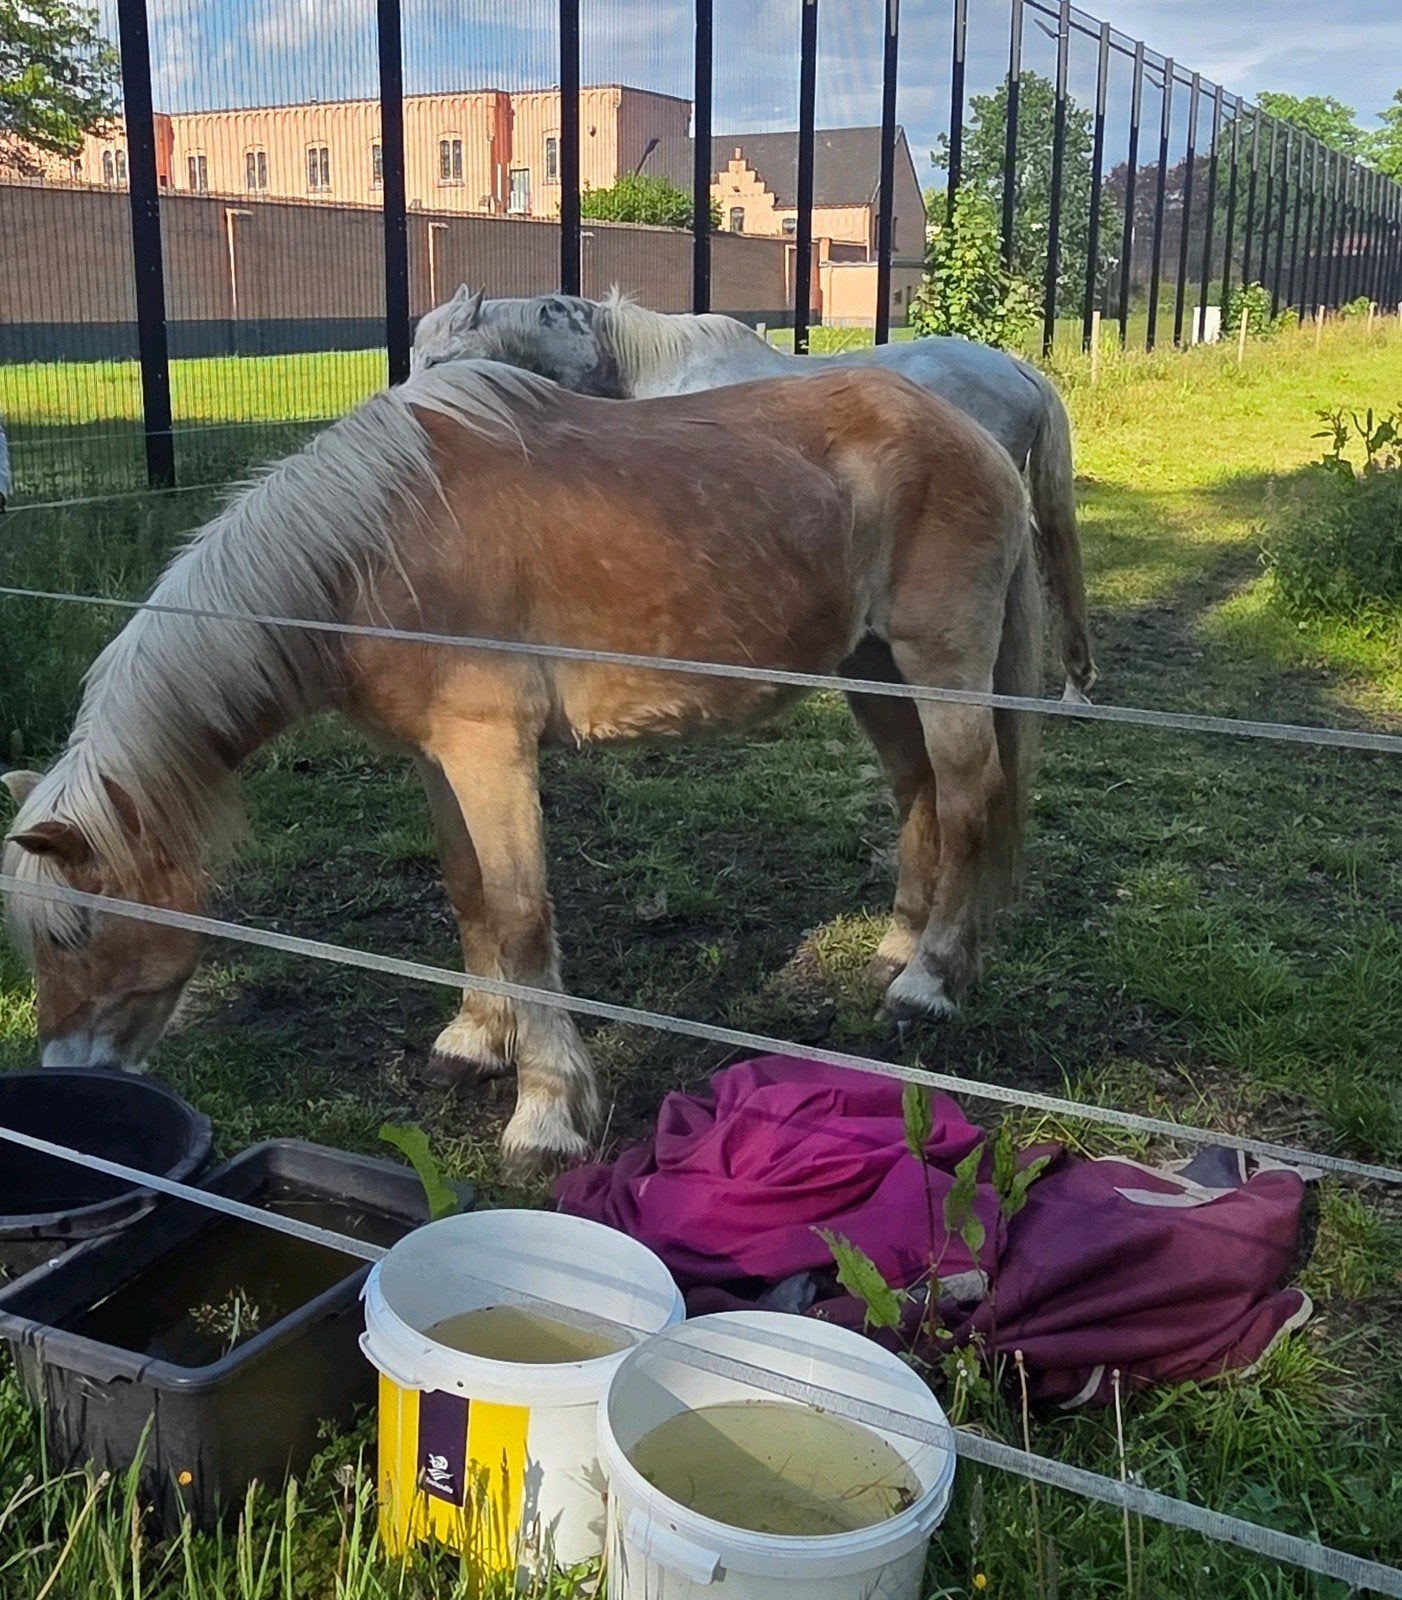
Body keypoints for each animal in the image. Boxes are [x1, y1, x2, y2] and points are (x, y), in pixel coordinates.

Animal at [2, 360, 1040, 1169]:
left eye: (76, 932)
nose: (65, 1077)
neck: (375, 546)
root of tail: (975, 429)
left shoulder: (489, 748)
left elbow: (520, 912)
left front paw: (545, 1112)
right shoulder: (439, 757)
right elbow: (467, 891)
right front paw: (476, 1038)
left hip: (941, 665)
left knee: (970, 798)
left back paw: (930, 982)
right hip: (872, 668)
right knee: (920, 793)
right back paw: (901, 943)